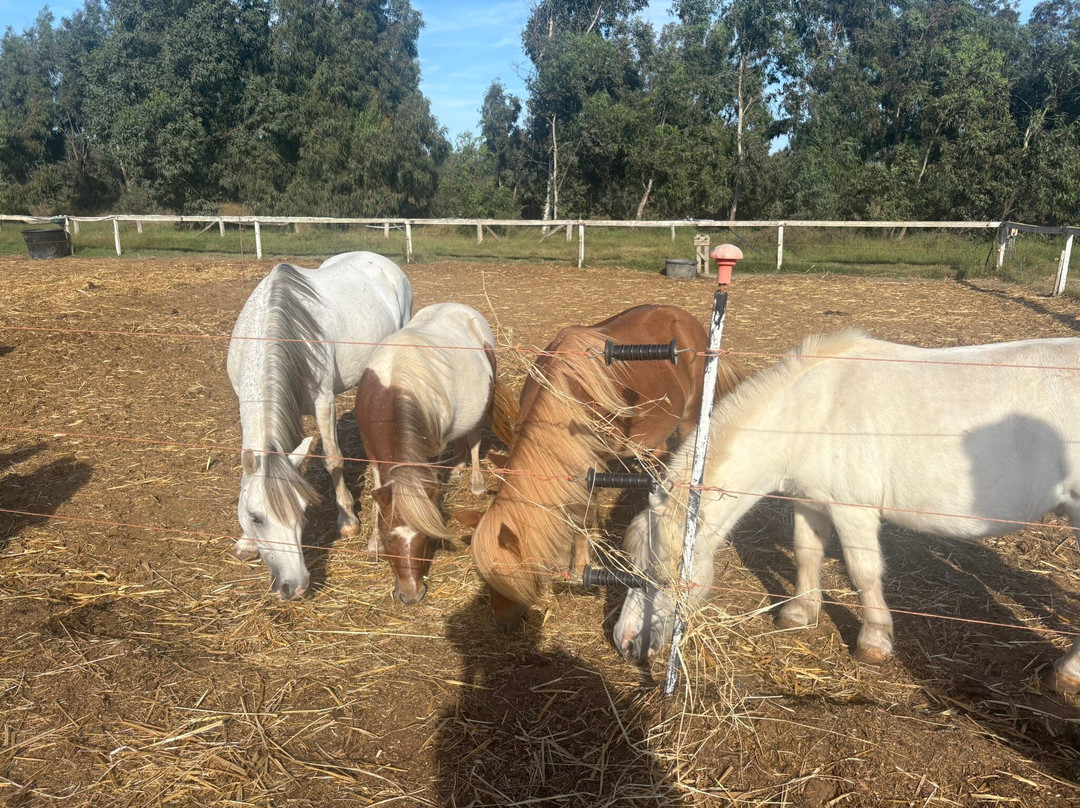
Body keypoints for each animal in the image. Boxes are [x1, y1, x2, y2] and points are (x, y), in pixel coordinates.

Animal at [227, 251, 412, 599]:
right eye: (255, 518)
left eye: (303, 510)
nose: (296, 586)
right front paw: (247, 544)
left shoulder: (322, 400)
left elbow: (333, 460)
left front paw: (348, 519)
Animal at [355, 302, 500, 605]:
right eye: (389, 538)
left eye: (425, 538)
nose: (411, 595)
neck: (394, 388)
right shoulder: (372, 454)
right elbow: (377, 496)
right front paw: (372, 543)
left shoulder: (431, 451)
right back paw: (457, 470)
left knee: (474, 440)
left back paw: (476, 484)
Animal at [454, 304, 745, 632]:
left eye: (509, 577)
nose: (501, 624)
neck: (564, 399)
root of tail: (686, 319)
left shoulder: (591, 470)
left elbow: (585, 519)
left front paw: (580, 568)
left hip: (689, 419)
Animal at [613, 330, 1080, 694]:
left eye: (656, 577)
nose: (624, 643)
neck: (811, 412)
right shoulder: (809, 501)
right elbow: (807, 553)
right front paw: (799, 614)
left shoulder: (852, 509)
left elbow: (863, 572)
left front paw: (873, 642)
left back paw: (1066, 673)